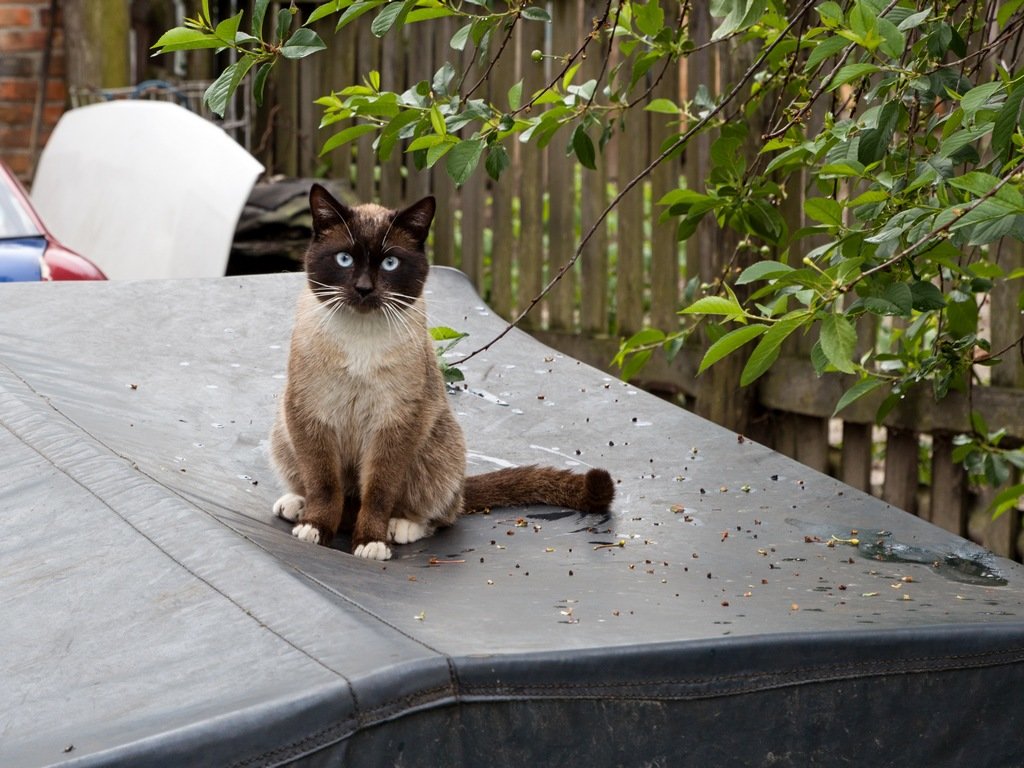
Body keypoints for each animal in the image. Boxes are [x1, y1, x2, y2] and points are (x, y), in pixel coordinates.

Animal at [268, 184, 610, 561]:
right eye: (345, 259)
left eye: (390, 263)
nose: (363, 289)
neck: (360, 338)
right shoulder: (311, 414)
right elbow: (324, 485)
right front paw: (314, 529)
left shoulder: (395, 423)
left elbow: (378, 492)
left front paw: (370, 542)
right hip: (283, 432)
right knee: (329, 494)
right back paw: (296, 506)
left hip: (435, 445)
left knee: (443, 513)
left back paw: (400, 526)